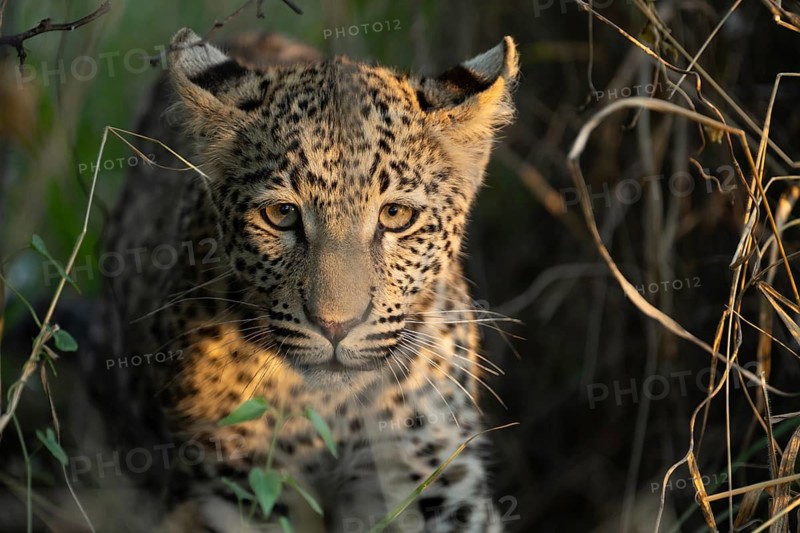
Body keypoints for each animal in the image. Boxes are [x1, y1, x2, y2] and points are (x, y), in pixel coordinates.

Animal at [86, 27, 519, 533]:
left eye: (395, 214)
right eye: (281, 214)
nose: (335, 326)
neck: (336, 407)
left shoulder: (433, 479)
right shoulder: (236, 488)